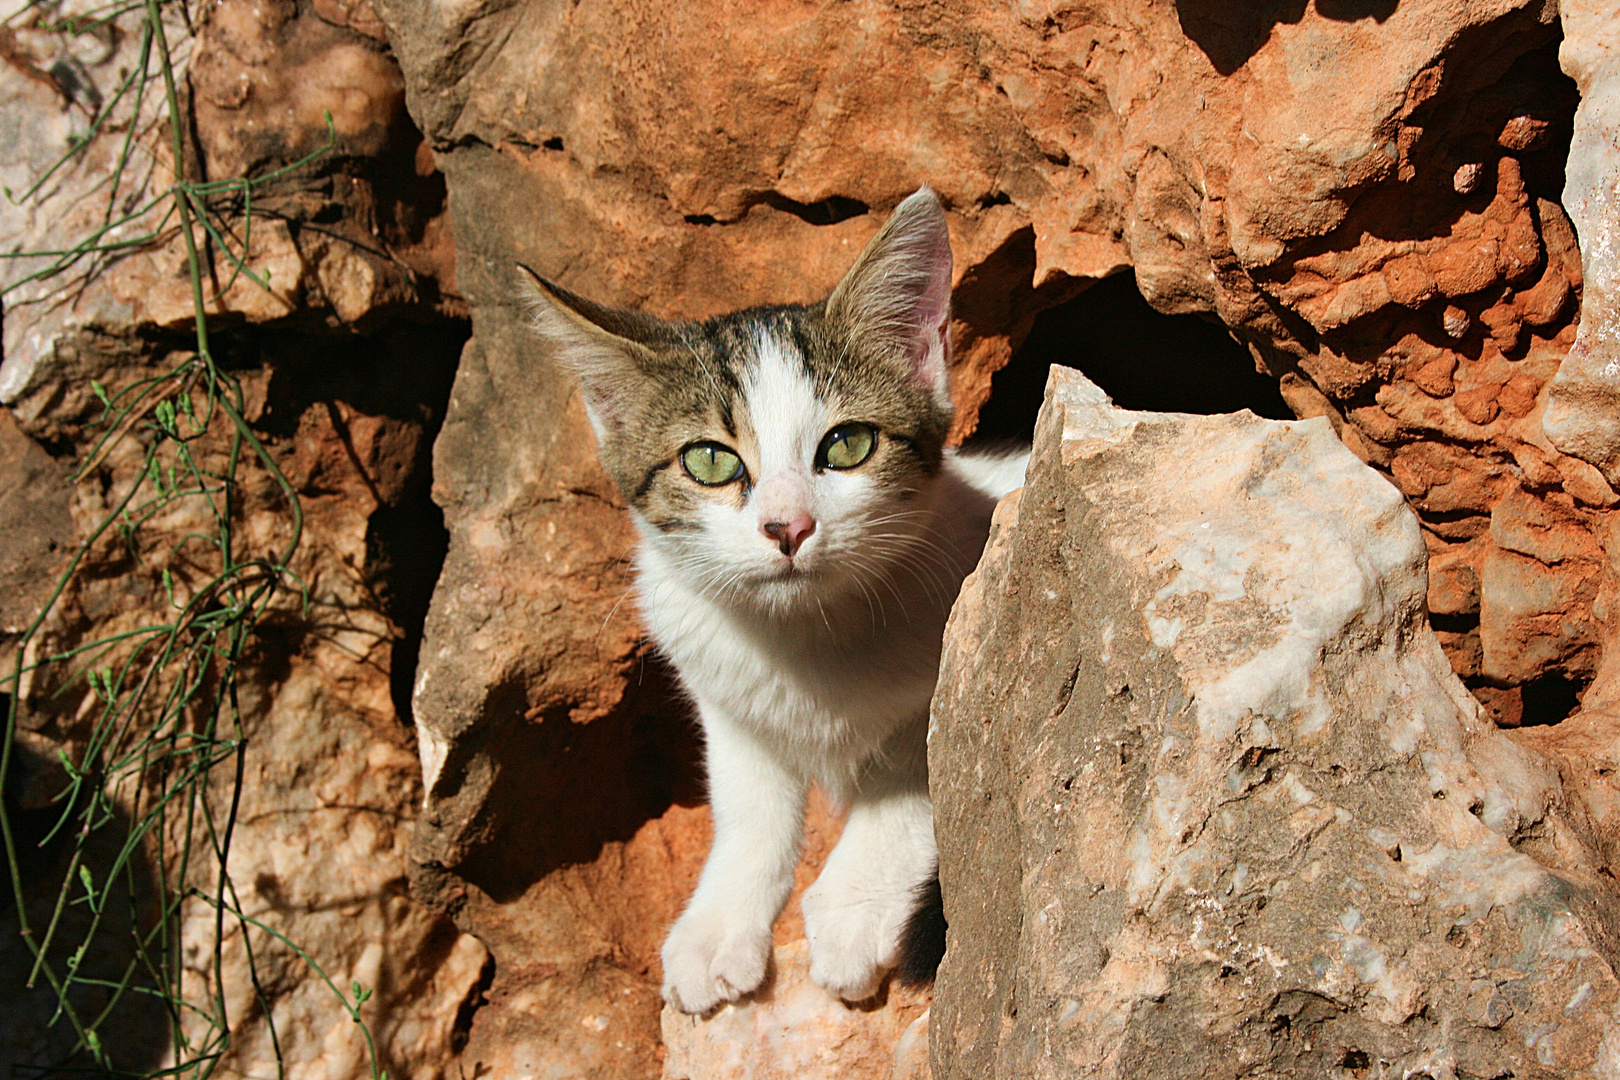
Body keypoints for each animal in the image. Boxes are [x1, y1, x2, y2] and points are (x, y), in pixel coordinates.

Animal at [521, 187, 1023, 1016]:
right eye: (710, 461)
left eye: (848, 445)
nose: (787, 526)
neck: (806, 638)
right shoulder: (719, 687)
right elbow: (747, 800)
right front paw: (719, 921)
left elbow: (913, 774)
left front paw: (851, 907)